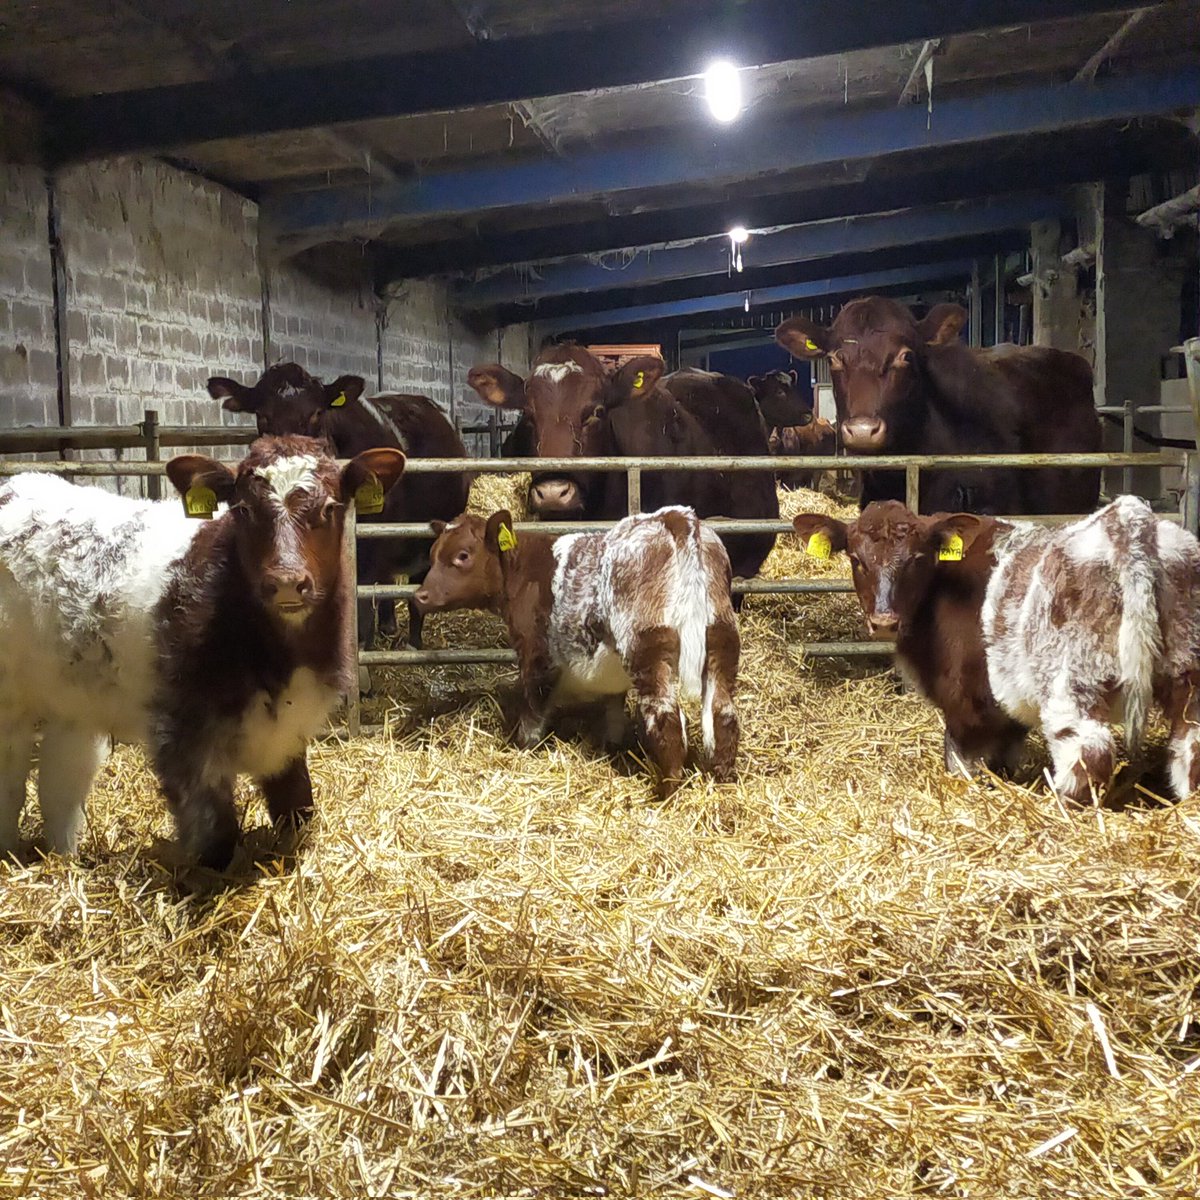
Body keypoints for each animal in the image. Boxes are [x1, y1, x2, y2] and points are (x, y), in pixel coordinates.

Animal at [0, 435, 405, 869]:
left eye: (329, 508)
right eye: (243, 509)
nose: (286, 582)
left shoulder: (289, 731)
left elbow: (297, 806)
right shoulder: (183, 736)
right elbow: (217, 836)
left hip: (71, 697)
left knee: (61, 780)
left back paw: (65, 856)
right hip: (12, 698)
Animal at [412, 506, 740, 797]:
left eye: (463, 555)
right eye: (432, 554)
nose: (420, 596)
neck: (526, 570)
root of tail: (674, 518)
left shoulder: (536, 654)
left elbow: (533, 710)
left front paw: (522, 748)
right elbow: (613, 712)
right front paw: (611, 747)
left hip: (649, 648)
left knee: (667, 720)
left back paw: (667, 794)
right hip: (721, 637)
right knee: (722, 715)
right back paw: (723, 784)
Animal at [792, 497, 1200, 803]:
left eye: (917, 559)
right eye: (856, 560)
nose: (884, 621)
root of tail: (1131, 522)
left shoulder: (965, 703)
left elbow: (962, 760)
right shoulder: (1006, 709)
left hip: (1074, 680)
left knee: (1089, 752)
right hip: (1188, 673)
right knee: (1190, 745)